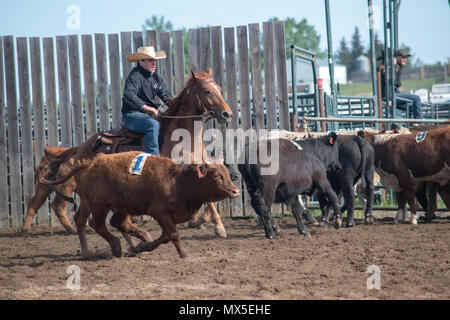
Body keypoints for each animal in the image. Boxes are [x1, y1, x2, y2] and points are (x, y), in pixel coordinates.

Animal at [32, 70, 232, 240]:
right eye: (207, 91)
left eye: (219, 89)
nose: (227, 114)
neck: (186, 139)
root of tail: (83, 146)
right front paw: (211, 225)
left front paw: (214, 225)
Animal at [39, 151, 239, 258]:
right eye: (217, 176)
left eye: (226, 173)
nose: (235, 191)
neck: (179, 181)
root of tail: (90, 162)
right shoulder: (160, 212)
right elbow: (173, 234)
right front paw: (185, 254)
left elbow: (165, 236)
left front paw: (144, 247)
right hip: (98, 205)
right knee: (96, 224)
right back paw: (116, 246)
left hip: (121, 206)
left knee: (116, 223)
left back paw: (139, 241)